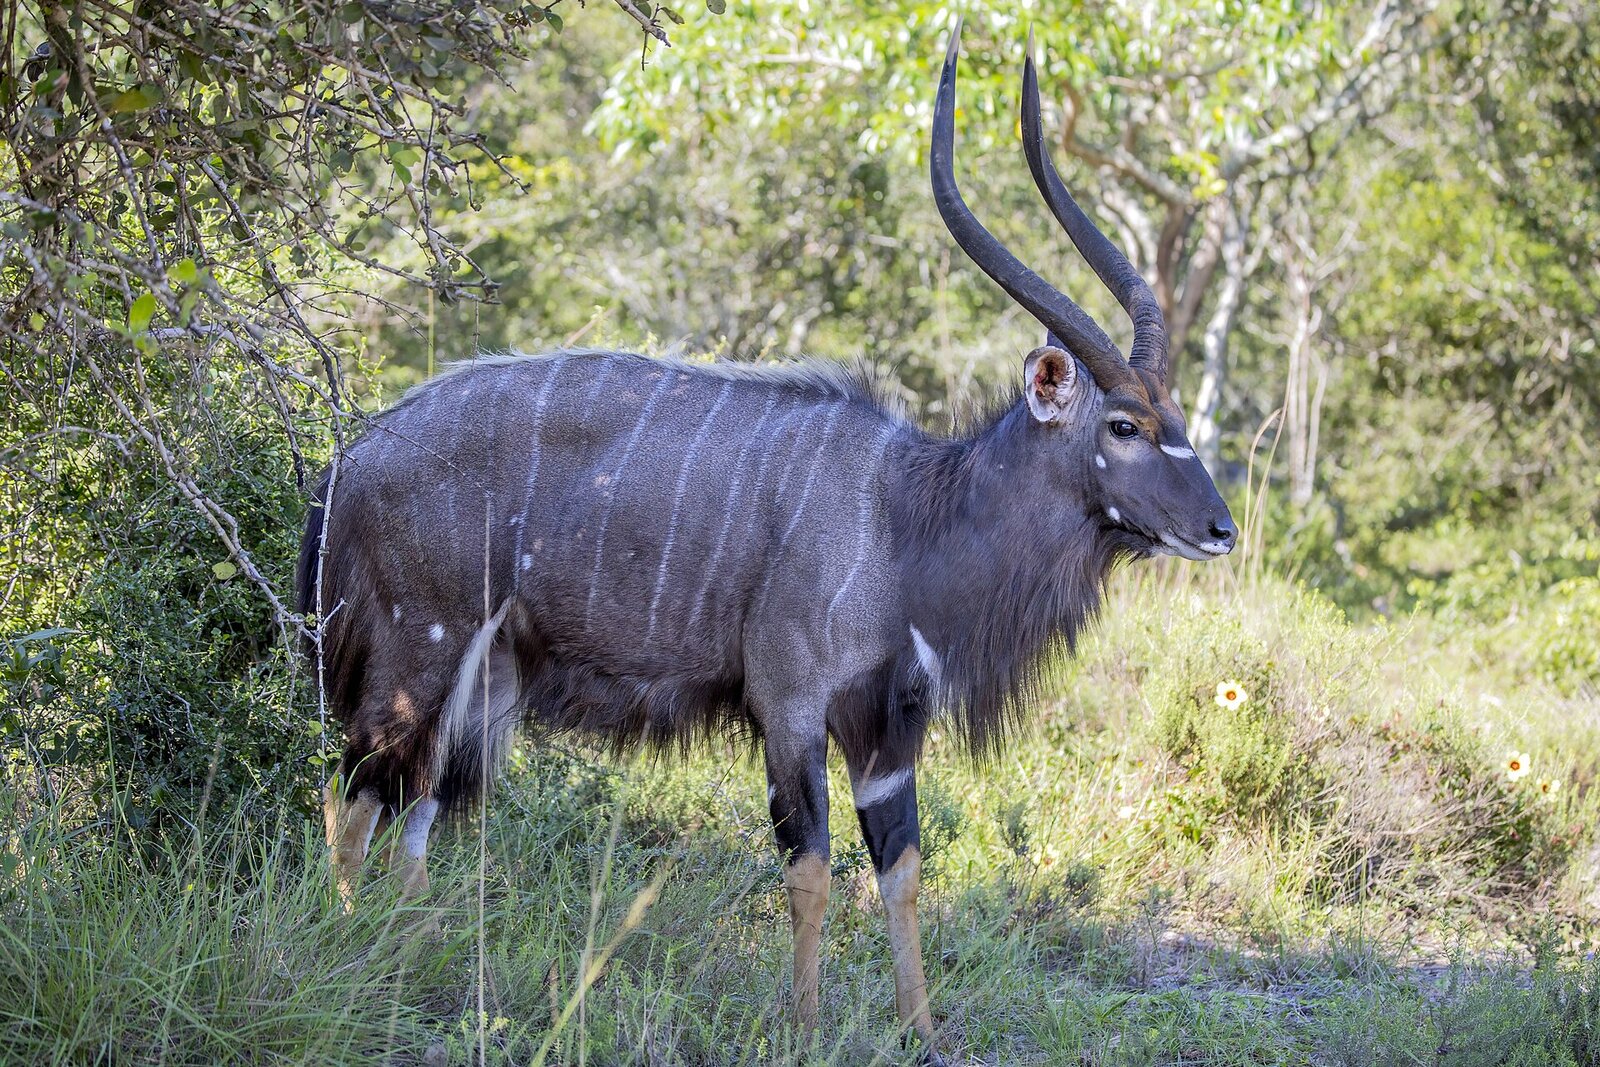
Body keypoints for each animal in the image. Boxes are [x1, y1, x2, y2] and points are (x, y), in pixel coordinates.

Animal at [301, 23, 1235, 1063]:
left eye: (1174, 415)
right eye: (1123, 425)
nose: (1219, 528)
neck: (902, 516)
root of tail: (348, 459)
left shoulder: (889, 728)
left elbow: (904, 867)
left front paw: (920, 1030)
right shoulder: (789, 707)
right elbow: (812, 869)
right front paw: (805, 1026)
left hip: (478, 681)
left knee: (415, 815)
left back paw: (421, 972)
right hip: (412, 659)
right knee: (354, 804)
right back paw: (348, 959)